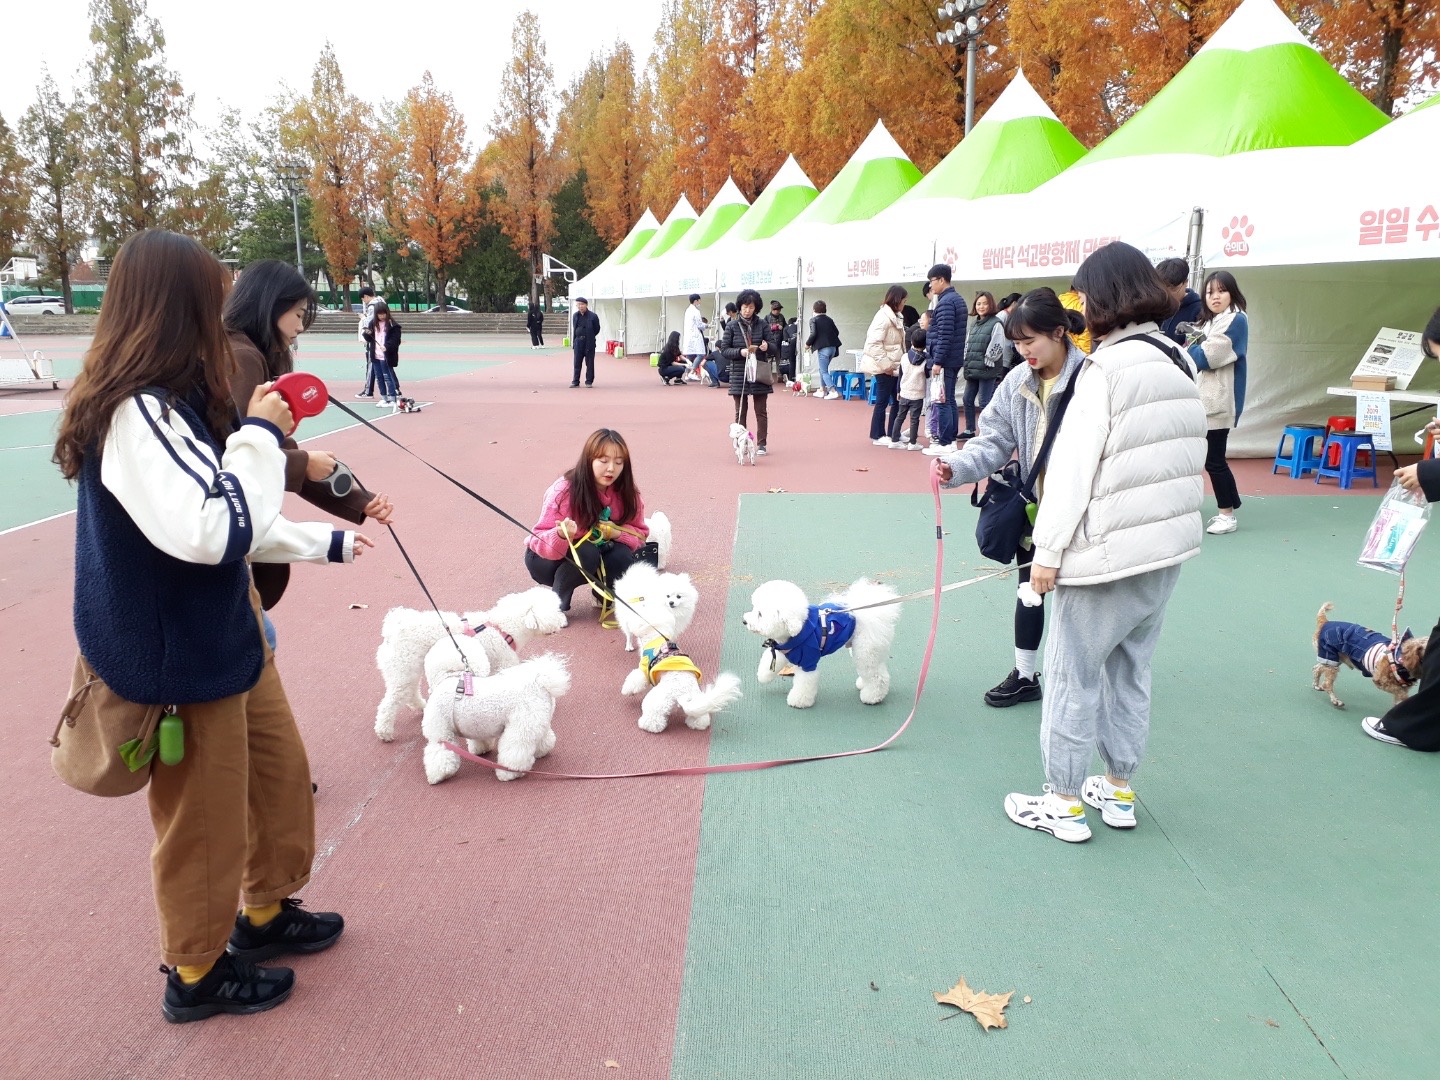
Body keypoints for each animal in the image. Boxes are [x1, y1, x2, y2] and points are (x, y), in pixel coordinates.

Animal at [371, 587, 567, 748]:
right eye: (557, 609)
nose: (563, 620)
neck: (503, 628)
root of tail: (393, 629)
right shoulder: (503, 662)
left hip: (407, 670)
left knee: (409, 692)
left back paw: (420, 706)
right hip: (402, 669)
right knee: (390, 703)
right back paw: (384, 732)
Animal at [417, 639, 567, 783]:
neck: (451, 677)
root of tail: (541, 683)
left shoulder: (441, 736)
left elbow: (439, 755)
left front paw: (439, 776)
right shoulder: (476, 726)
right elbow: (479, 739)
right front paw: (481, 749)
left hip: (520, 727)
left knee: (515, 752)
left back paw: (508, 773)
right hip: (536, 720)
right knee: (545, 739)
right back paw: (541, 752)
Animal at [616, 593, 737, 737]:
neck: (656, 636)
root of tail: (682, 694)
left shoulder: (644, 669)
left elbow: (634, 679)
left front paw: (626, 691)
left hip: (656, 700)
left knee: (654, 719)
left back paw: (647, 725)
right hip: (696, 702)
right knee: (700, 718)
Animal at [743, 578, 898, 714]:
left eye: (760, 614)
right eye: (754, 608)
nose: (744, 621)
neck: (798, 631)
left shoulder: (808, 662)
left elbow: (804, 684)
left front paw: (798, 701)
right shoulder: (782, 650)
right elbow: (769, 662)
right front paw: (763, 676)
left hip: (865, 650)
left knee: (879, 676)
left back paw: (872, 697)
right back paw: (863, 685)